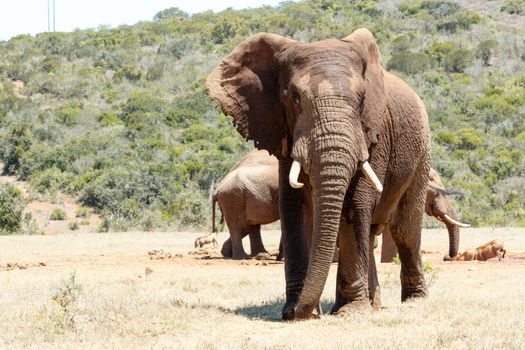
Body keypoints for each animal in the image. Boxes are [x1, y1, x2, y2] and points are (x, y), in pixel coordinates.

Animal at [205, 28, 430, 320]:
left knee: (405, 229)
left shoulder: (374, 133)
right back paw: (374, 305)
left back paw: (414, 300)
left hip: (422, 151)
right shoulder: (282, 130)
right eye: (294, 99)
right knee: (372, 231)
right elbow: (294, 206)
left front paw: (348, 312)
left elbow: (354, 204)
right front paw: (302, 312)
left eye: (362, 100)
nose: (293, 312)